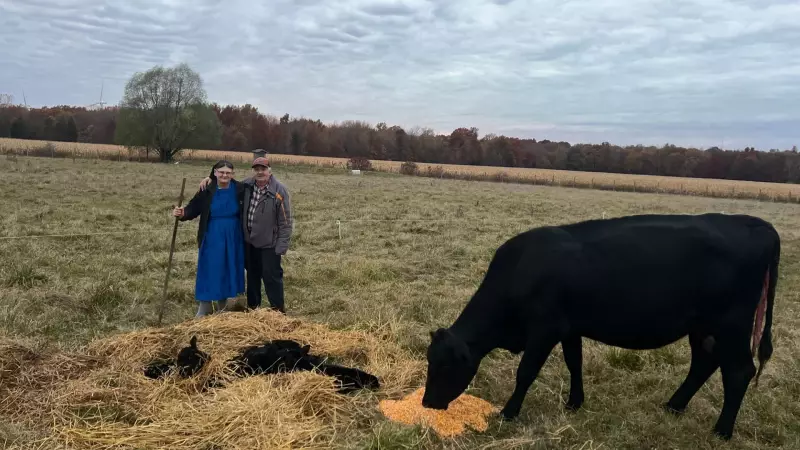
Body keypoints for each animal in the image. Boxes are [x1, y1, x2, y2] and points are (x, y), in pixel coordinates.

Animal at [421, 213, 780, 441]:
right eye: (429, 361)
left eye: (444, 366)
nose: (426, 403)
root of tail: (752, 223)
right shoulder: (570, 328)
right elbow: (574, 363)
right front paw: (574, 403)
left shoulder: (544, 329)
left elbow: (526, 372)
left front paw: (508, 412)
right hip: (703, 327)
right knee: (705, 363)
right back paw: (674, 406)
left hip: (732, 324)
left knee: (739, 372)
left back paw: (722, 431)